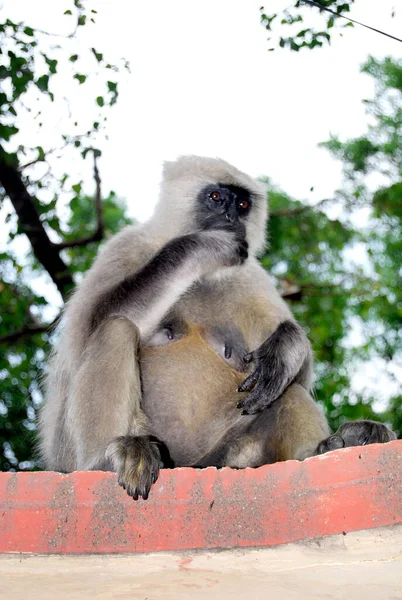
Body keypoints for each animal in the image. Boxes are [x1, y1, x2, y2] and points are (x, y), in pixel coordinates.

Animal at [38, 155, 396, 496]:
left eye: (243, 205)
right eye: (216, 197)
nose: (231, 218)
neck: (203, 278)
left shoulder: (249, 275)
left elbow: (299, 373)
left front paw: (287, 345)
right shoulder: (126, 245)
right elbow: (90, 327)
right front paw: (204, 246)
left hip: (223, 455)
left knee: (287, 387)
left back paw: (329, 446)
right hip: (71, 452)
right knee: (116, 328)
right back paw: (108, 457)